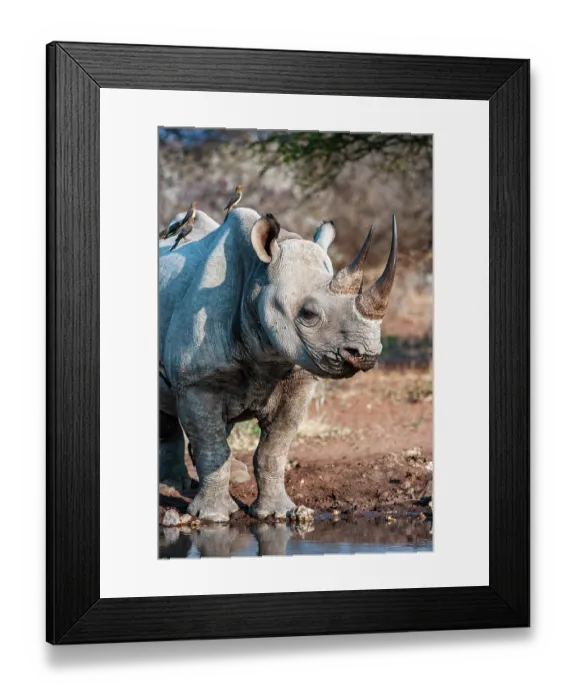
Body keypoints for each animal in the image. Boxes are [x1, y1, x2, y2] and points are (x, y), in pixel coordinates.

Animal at [159, 207, 397, 522]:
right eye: (308, 314)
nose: (367, 353)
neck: (258, 281)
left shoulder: (298, 378)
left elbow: (274, 449)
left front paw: (276, 513)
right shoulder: (196, 381)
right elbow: (213, 447)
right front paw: (213, 517)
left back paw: (229, 477)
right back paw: (171, 485)